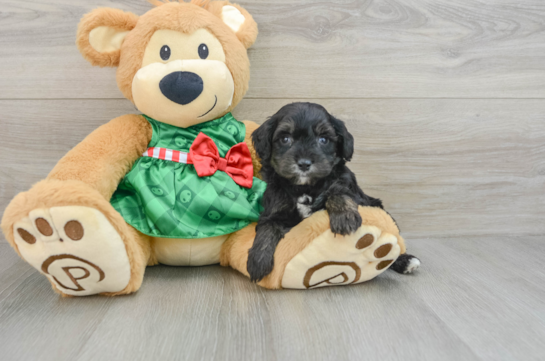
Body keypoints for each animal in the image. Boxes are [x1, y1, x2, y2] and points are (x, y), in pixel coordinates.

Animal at [248, 101, 420, 282]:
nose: (304, 163)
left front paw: (344, 217)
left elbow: (338, 191)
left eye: (323, 139)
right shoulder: (274, 209)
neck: (305, 187)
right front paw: (258, 259)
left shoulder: (350, 189)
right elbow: (268, 226)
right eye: (285, 138)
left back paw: (405, 260)